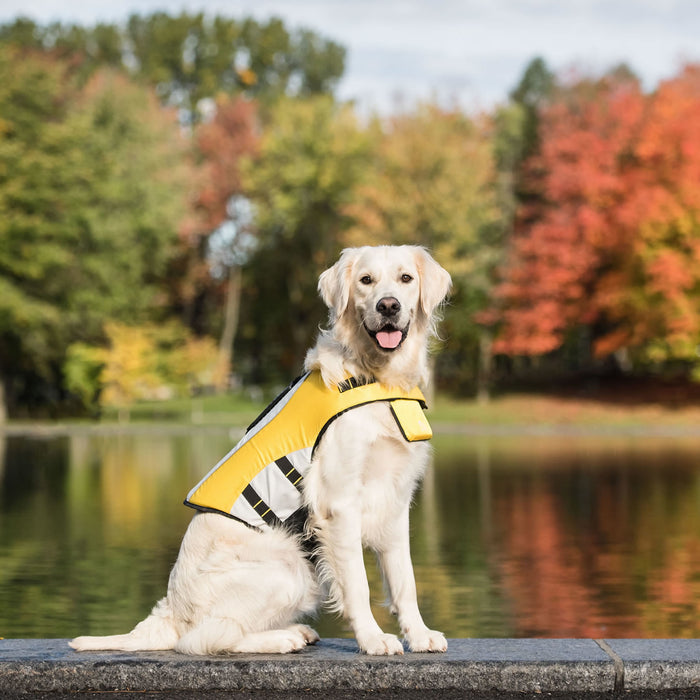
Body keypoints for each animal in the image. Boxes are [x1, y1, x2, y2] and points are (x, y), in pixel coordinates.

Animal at [71, 246, 452, 656]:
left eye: (405, 279)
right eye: (366, 281)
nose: (388, 306)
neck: (375, 379)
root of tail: (170, 613)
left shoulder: (395, 499)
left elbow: (404, 579)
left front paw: (419, 634)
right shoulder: (338, 503)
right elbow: (357, 586)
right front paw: (373, 638)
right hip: (290, 567)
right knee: (205, 638)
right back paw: (284, 637)